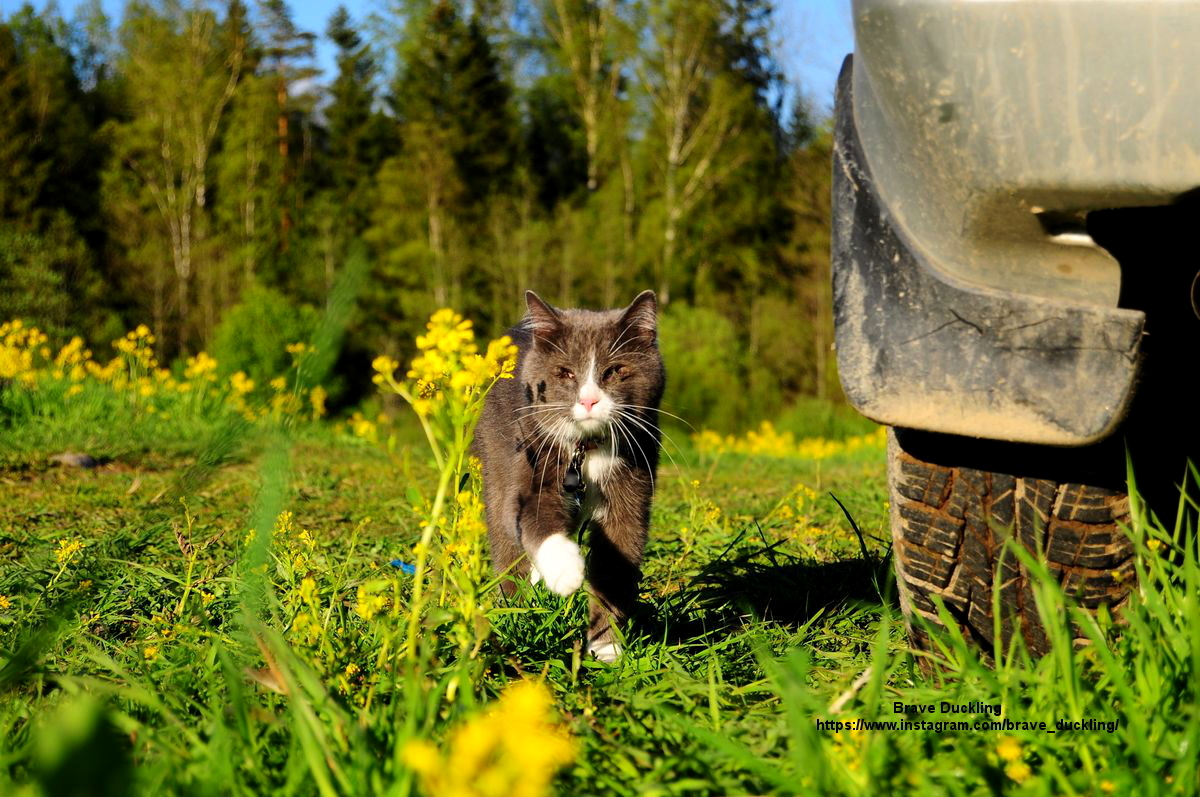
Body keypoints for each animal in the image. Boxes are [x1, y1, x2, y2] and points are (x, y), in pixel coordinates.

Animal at [470, 289, 667, 662]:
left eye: (615, 370)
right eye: (565, 373)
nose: (589, 400)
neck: (585, 451)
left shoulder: (633, 475)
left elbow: (616, 557)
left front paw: (607, 649)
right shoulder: (530, 456)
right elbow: (532, 515)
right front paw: (566, 572)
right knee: (507, 545)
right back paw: (513, 614)